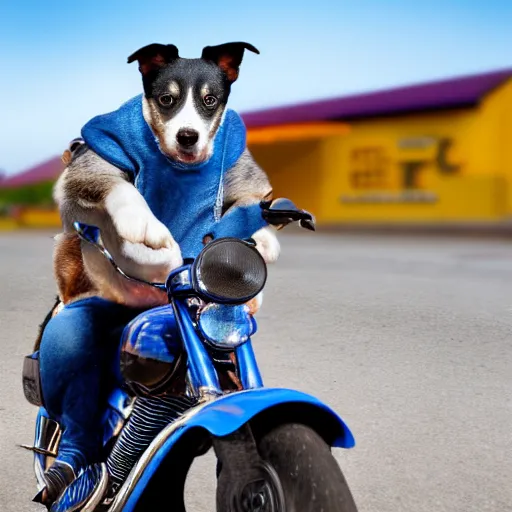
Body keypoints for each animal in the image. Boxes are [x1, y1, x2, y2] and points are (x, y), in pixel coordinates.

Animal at [48, 42, 280, 318]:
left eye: (209, 100)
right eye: (166, 99)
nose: (188, 136)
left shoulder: (243, 171)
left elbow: (249, 199)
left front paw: (261, 237)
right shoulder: (93, 161)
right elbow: (120, 187)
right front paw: (144, 224)